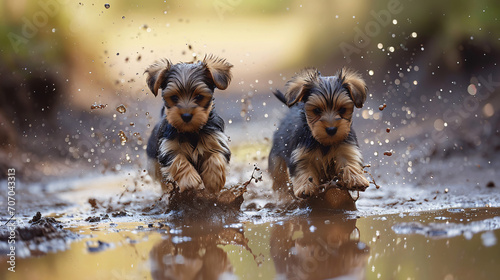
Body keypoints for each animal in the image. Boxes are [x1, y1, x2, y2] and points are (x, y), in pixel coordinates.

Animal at [144, 55, 231, 195]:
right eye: (174, 97)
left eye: (199, 96)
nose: (186, 116)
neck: (192, 131)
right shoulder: (168, 148)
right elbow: (178, 160)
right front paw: (190, 180)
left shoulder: (217, 140)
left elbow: (216, 157)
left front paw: (213, 180)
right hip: (153, 162)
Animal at [268, 67, 370, 199]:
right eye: (316, 110)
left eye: (342, 109)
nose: (331, 129)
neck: (324, 143)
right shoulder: (300, 155)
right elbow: (304, 170)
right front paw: (306, 187)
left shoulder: (346, 148)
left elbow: (349, 163)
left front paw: (356, 179)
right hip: (277, 156)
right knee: (279, 175)